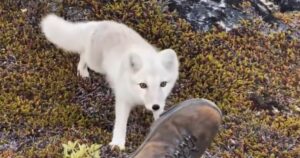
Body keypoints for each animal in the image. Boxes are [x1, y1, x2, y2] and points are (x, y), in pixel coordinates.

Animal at [41, 13, 179, 149]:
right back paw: (82, 72)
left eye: (163, 84)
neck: (138, 98)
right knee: (83, 53)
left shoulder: (161, 100)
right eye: (143, 85)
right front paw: (117, 144)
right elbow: (121, 124)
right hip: (96, 65)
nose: (155, 106)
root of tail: (99, 24)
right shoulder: (123, 100)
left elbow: (161, 115)